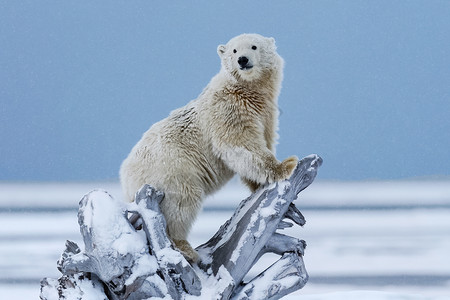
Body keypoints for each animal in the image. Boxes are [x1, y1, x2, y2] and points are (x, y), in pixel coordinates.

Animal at [119, 33, 298, 262]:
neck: (247, 89)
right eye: (234, 50)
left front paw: (259, 185)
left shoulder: (266, 113)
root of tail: (126, 177)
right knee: (182, 203)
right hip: (171, 170)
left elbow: (261, 142)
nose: (242, 60)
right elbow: (240, 143)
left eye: (254, 46)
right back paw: (186, 249)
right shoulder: (229, 109)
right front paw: (287, 165)